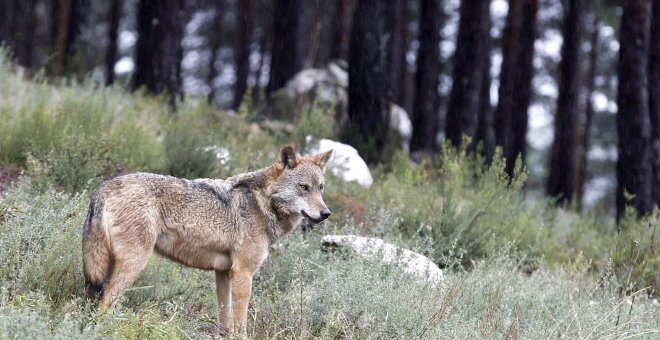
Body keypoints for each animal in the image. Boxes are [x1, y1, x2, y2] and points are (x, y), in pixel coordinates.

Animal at [82, 145, 332, 334]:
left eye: (320, 188)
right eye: (303, 187)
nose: (326, 213)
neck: (263, 203)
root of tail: (104, 187)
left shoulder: (223, 273)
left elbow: (226, 321)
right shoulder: (243, 273)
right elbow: (240, 323)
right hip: (133, 265)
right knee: (105, 303)